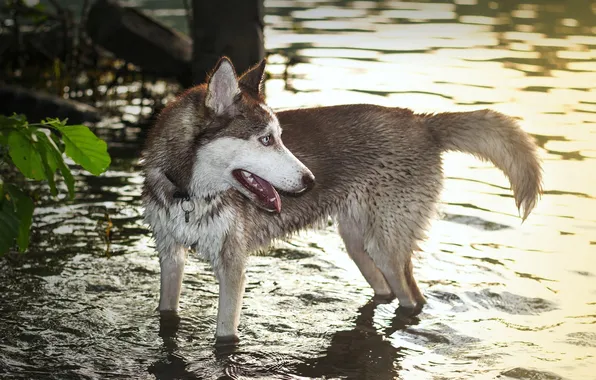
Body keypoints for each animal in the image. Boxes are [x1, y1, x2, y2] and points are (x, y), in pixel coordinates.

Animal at [142, 57, 544, 344]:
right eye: (266, 140)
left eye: (279, 137)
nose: (310, 181)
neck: (188, 194)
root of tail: (421, 120)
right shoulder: (170, 255)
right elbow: (167, 312)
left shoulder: (232, 265)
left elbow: (225, 335)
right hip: (356, 242)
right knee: (384, 289)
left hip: (386, 245)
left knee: (412, 297)